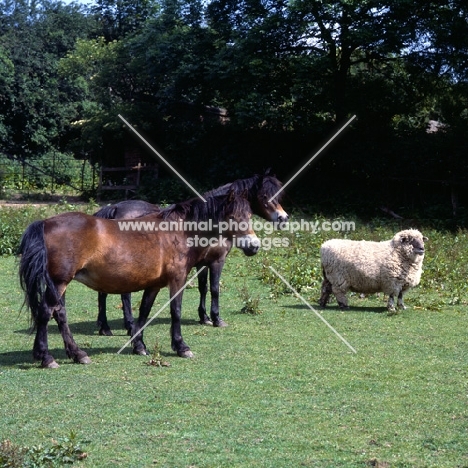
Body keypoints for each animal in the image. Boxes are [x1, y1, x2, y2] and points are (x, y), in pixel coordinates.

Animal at [19, 192, 260, 368]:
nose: (254, 245)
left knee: (59, 314)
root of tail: (46, 223)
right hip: (60, 282)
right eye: (232, 217)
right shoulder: (177, 279)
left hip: (60, 284)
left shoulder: (153, 284)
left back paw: (77, 354)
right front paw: (181, 346)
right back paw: (46, 357)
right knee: (46, 312)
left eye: (249, 216)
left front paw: (139, 345)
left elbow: (144, 312)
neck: (178, 232)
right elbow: (176, 311)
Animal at [93, 170, 288, 334]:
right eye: (265, 196)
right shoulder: (217, 261)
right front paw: (216, 318)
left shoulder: (202, 263)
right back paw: (128, 325)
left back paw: (105, 327)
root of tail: (115, 208)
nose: (284, 218)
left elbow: (203, 288)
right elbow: (214, 288)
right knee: (124, 294)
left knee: (103, 291)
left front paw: (204, 317)